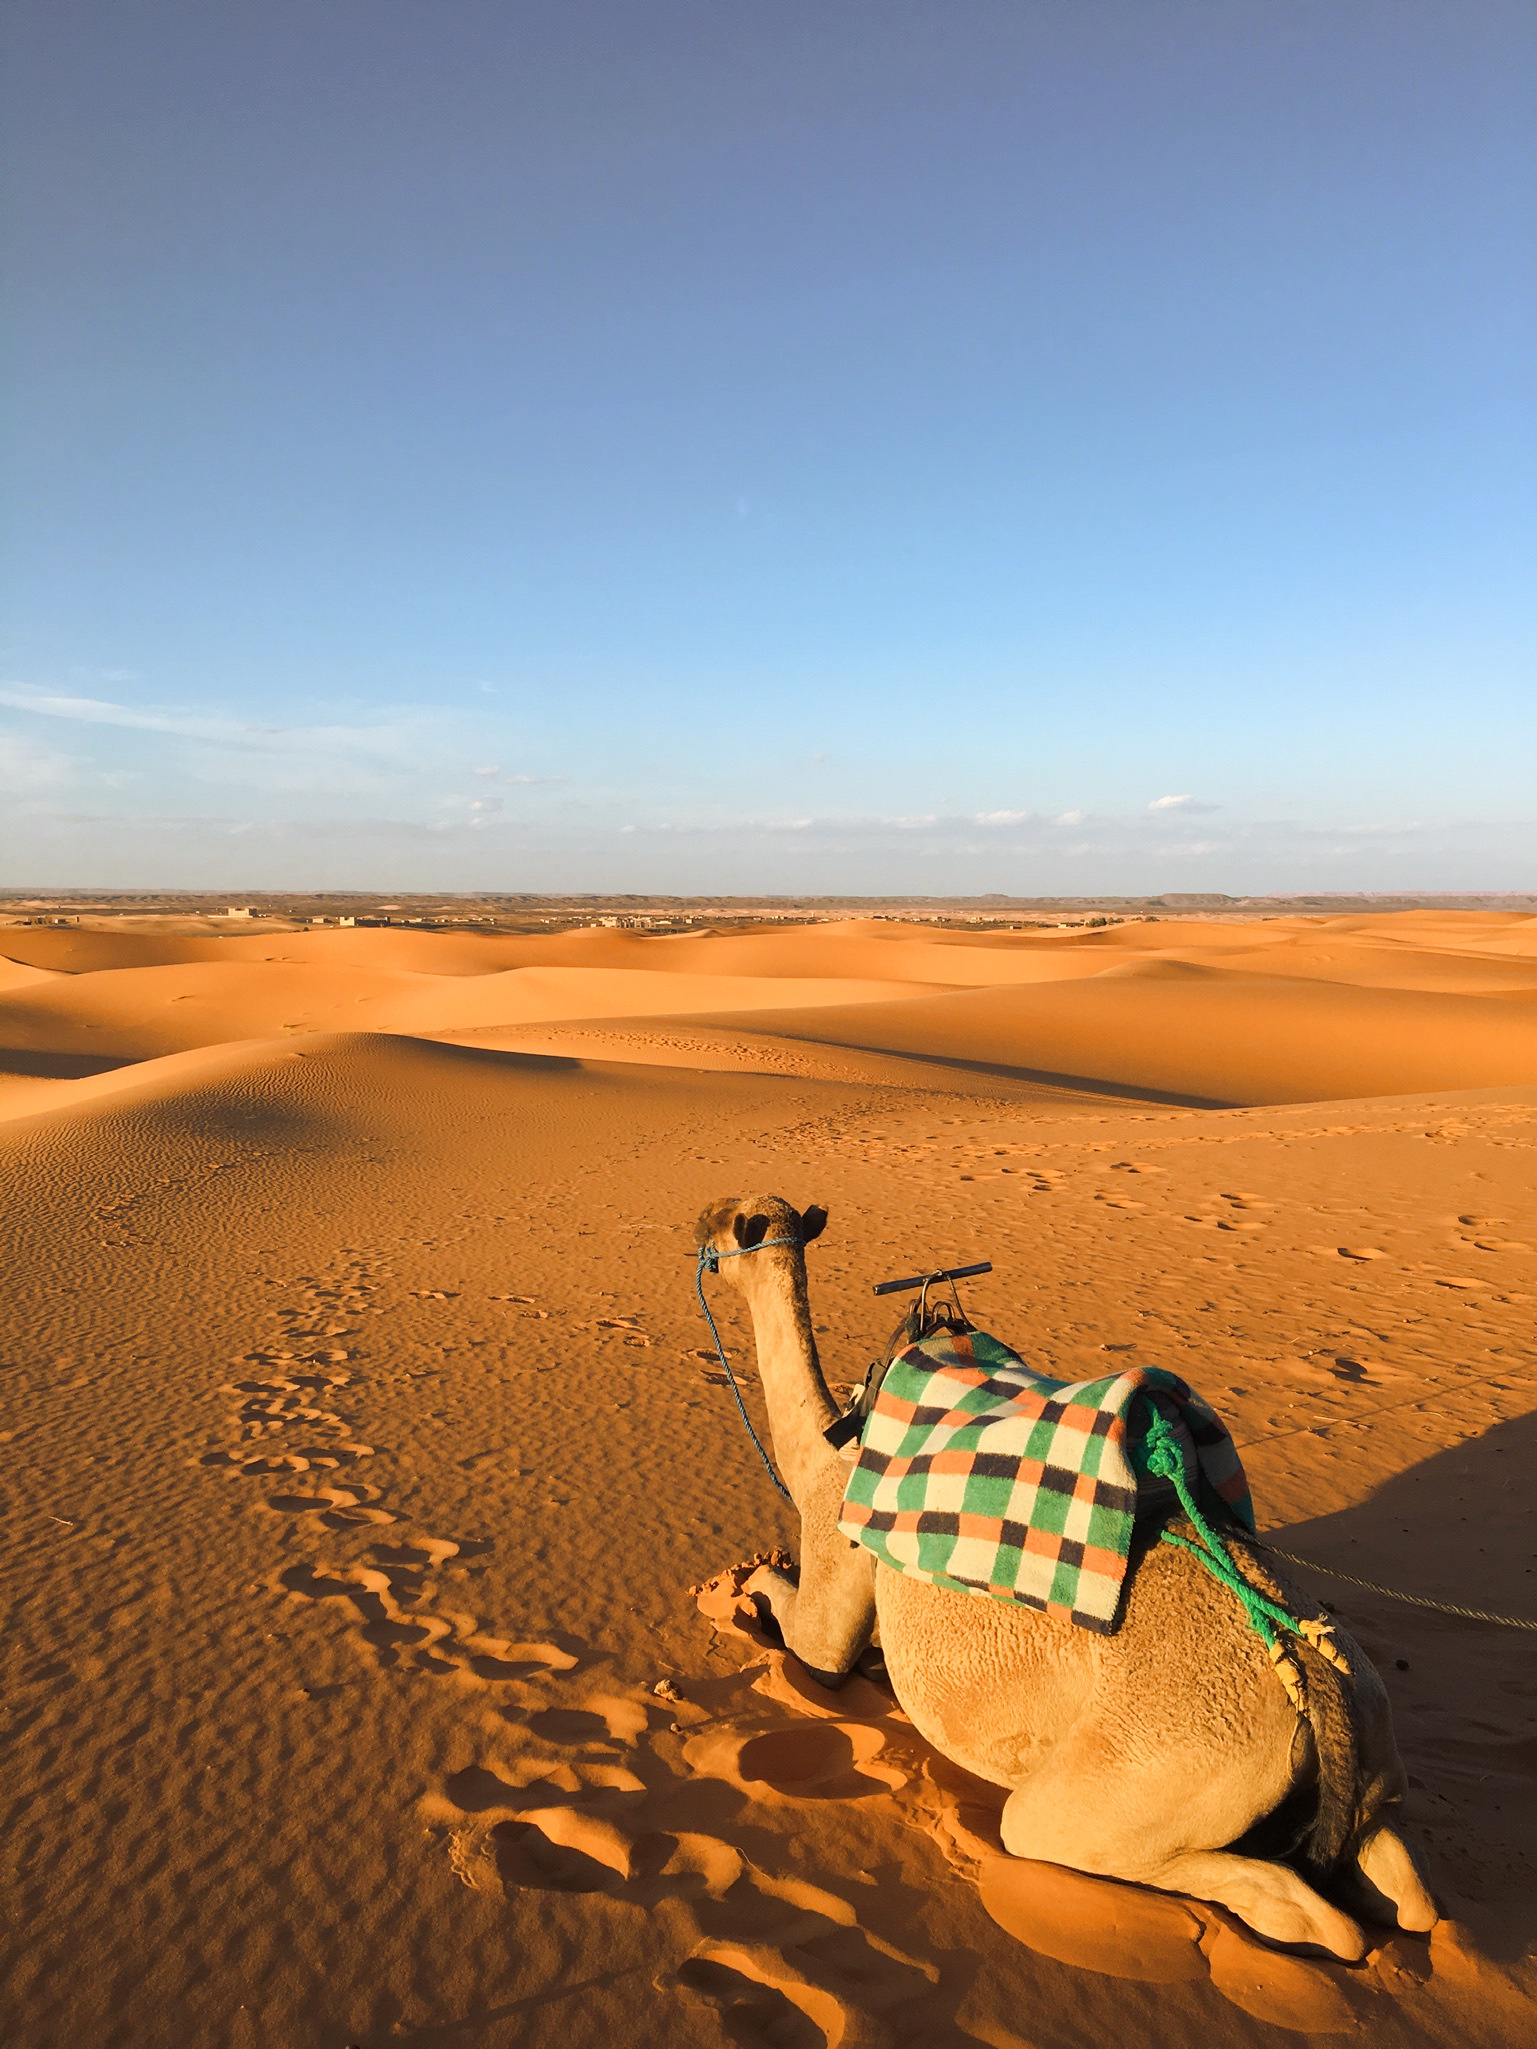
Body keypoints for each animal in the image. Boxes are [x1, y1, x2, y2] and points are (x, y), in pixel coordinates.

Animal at [695, 1193, 1438, 1960]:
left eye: (723, 1223)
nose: (699, 1228)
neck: (828, 1443)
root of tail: (1312, 1679)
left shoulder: (836, 1542)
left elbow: (811, 1645)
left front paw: (744, 1586)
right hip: (1373, 1753)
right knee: (1407, 1895)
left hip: (1150, 1773)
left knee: (1296, 1909)